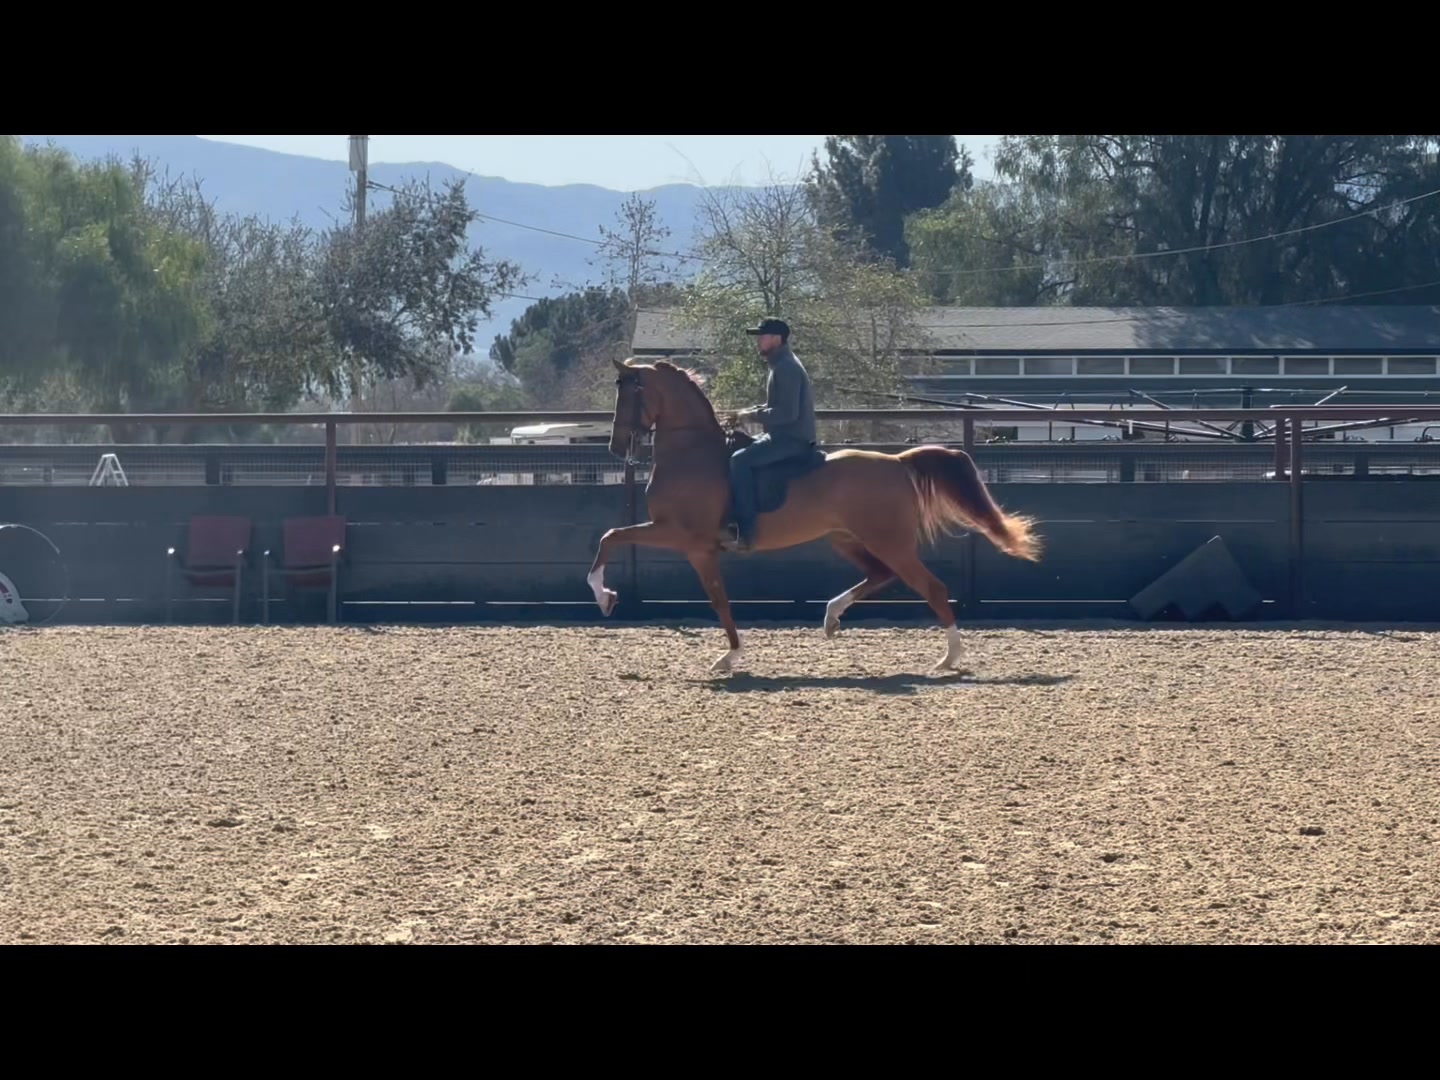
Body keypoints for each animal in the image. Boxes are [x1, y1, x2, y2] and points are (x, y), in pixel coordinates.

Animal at [586, 356, 1042, 674]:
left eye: (630, 393)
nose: (614, 446)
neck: (691, 453)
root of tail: (897, 462)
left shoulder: (687, 540)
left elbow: (707, 592)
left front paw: (728, 656)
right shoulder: (688, 542)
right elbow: (613, 538)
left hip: (888, 541)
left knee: (930, 586)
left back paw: (949, 658)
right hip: (846, 539)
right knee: (881, 575)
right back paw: (832, 617)